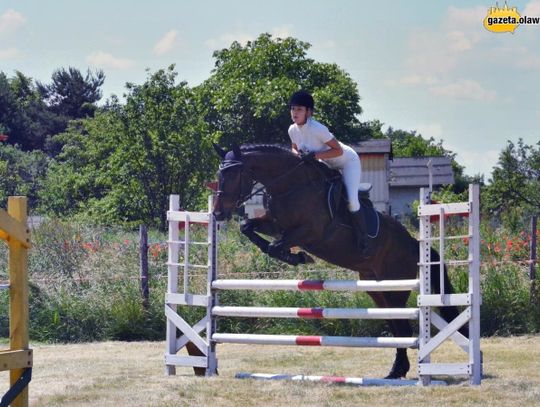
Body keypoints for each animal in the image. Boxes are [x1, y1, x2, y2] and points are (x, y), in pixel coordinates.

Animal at [211, 143, 464, 380]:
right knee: (395, 325)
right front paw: (292, 255)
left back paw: (399, 371)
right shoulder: (275, 225)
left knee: (401, 327)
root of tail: (414, 243)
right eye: (218, 175)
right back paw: (395, 371)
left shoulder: (311, 232)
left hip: (396, 287)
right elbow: (248, 228)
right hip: (377, 289)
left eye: (233, 175)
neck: (290, 186)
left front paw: (297, 256)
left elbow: (276, 245)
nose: (218, 214)